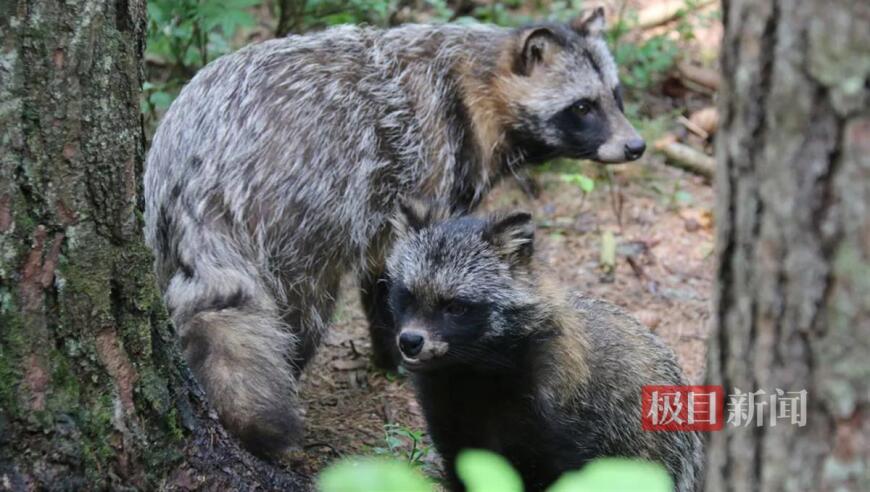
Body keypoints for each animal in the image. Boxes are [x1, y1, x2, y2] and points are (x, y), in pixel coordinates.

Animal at [145, 8, 648, 454]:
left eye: (616, 95)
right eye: (582, 107)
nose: (636, 145)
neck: (474, 86)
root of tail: (198, 169)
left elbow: (385, 273)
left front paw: (389, 350)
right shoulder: (427, 166)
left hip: (163, 221)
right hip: (297, 209)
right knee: (303, 308)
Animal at [392, 202, 704, 490]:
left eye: (456, 307)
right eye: (407, 296)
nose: (410, 341)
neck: (470, 373)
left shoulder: (561, 423)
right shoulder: (452, 421)